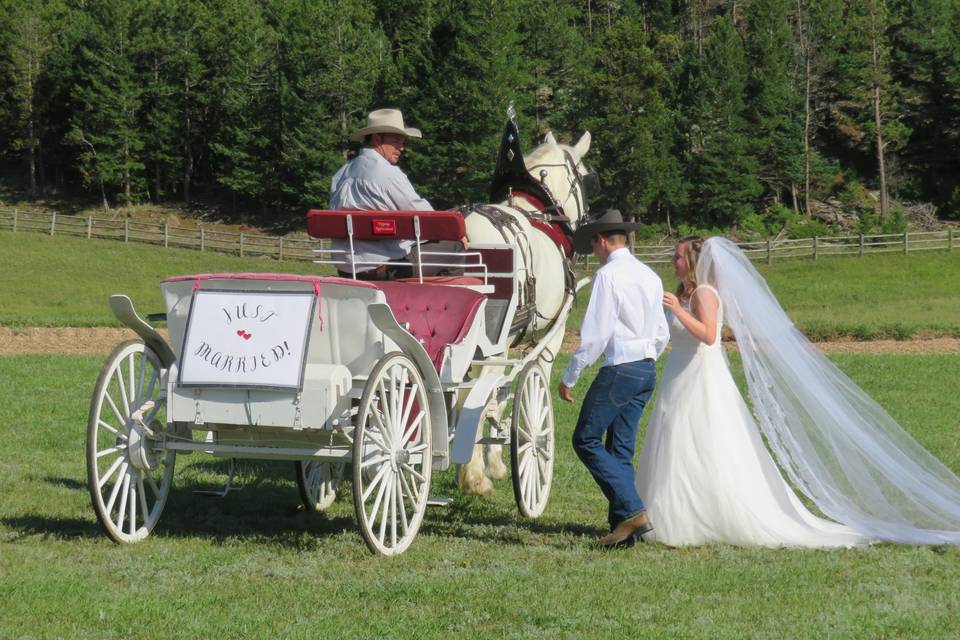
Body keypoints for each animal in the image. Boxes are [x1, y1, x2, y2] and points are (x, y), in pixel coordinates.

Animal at [456, 126, 592, 496]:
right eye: (584, 176)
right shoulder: (550, 337)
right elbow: (511, 393)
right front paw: (496, 464)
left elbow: (498, 396)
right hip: (492, 347)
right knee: (471, 398)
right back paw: (474, 476)